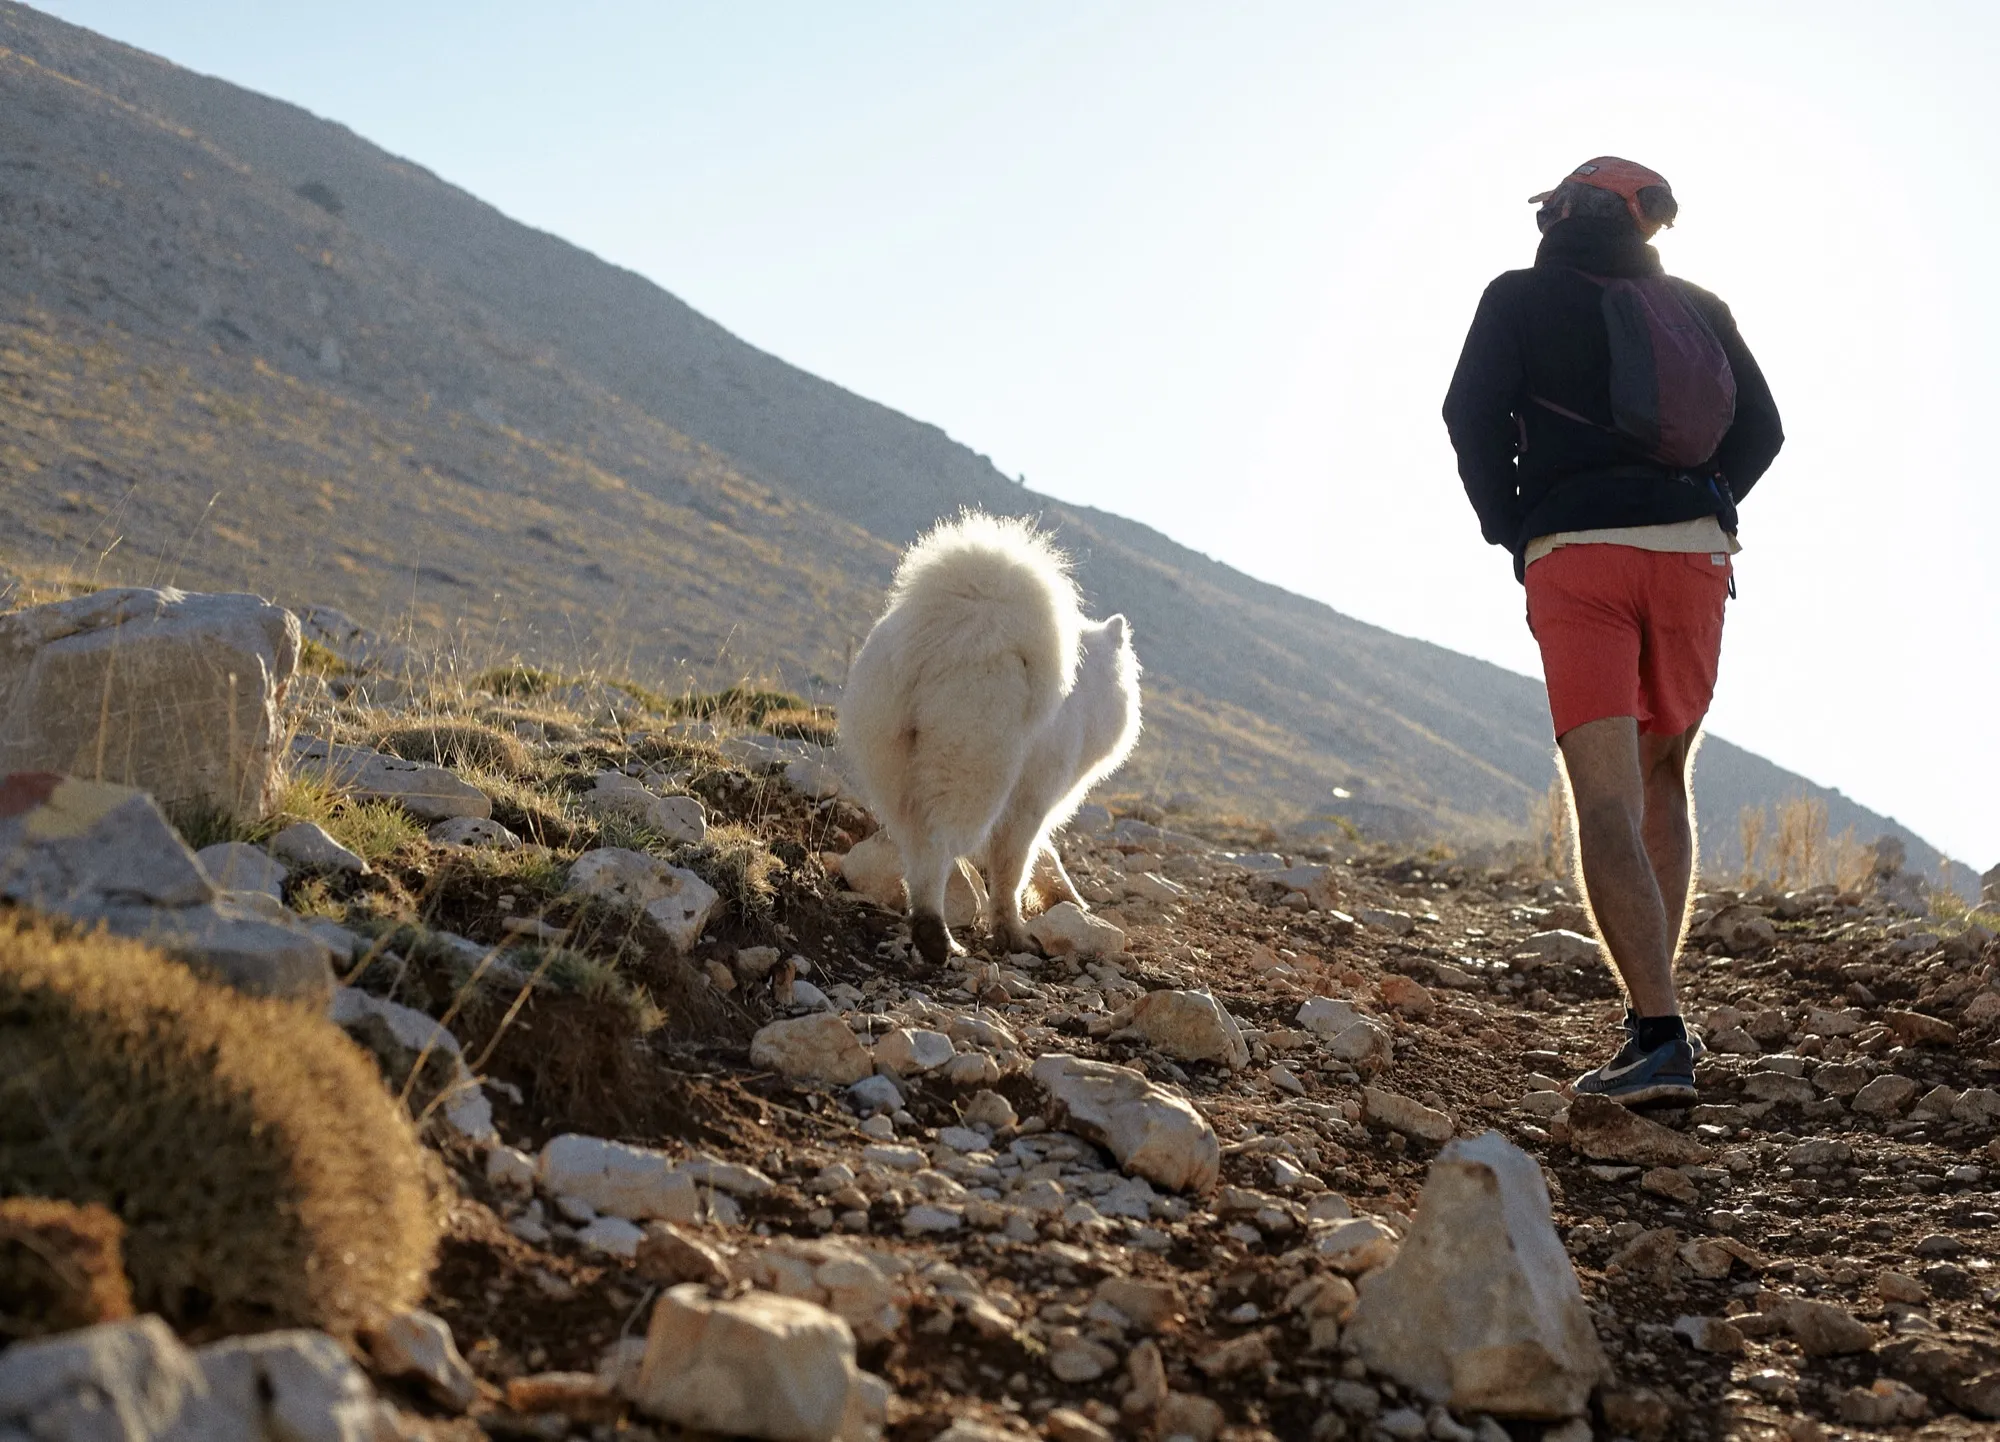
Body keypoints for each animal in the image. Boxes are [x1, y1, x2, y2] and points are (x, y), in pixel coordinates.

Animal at [839, 511, 1141, 964]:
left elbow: (1043, 856)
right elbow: (1014, 866)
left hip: (891, 765)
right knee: (936, 848)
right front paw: (1014, 929)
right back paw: (937, 937)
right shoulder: (1030, 802)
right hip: (974, 770)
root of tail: (946, 638)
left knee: (913, 846)